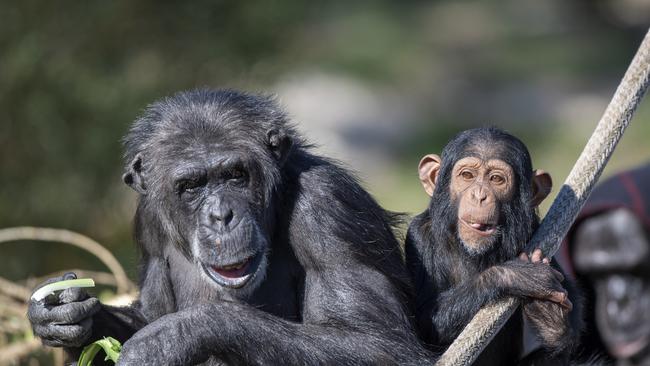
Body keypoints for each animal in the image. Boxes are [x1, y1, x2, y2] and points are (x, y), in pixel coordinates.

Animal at [27, 89, 432, 366]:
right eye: (191, 186)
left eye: (236, 175)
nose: (221, 216)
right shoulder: (148, 220)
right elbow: (148, 314)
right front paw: (64, 312)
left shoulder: (328, 208)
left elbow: (376, 343)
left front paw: (173, 337)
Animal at [404, 127, 576, 364]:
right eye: (467, 175)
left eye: (496, 179)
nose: (479, 195)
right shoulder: (418, 236)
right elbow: (425, 319)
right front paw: (519, 275)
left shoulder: (536, 232)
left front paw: (549, 317)